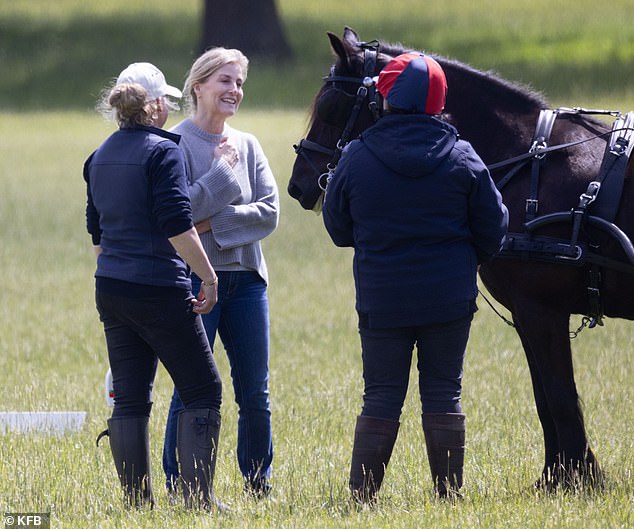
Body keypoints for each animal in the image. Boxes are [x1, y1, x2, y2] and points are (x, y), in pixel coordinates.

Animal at [288, 25, 632, 486]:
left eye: (330, 106)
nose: (297, 184)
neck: (531, 161)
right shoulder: (529, 315)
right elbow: (545, 398)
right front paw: (556, 477)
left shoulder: (542, 311)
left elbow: (560, 396)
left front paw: (577, 477)